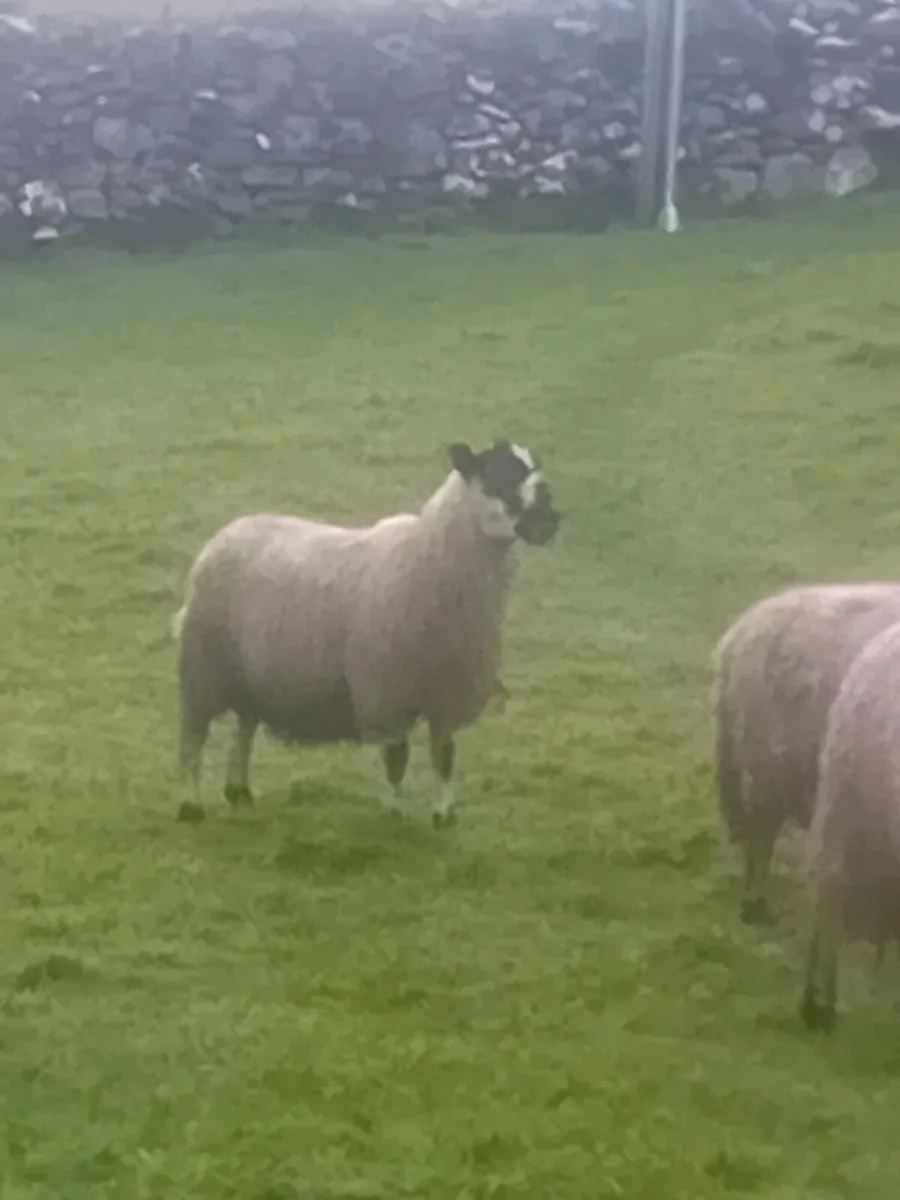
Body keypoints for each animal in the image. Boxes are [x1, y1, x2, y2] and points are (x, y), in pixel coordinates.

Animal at [171, 440, 561, 827]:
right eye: (497, 475)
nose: (550, 520)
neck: (427, 559)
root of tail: (228, 531)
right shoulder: (385, 691)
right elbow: (397, 758)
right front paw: (394, 813)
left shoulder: (448, 691)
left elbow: (445, 755)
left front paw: (444, 815)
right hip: (202, 665)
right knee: (193, 736)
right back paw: (191, 806)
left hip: (249, 676)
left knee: (243, 730)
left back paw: (239, 791)